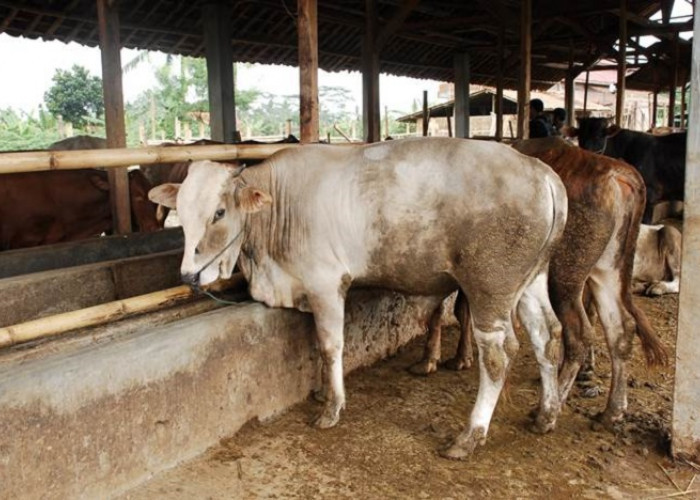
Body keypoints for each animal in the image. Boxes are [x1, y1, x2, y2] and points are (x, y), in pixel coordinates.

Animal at [149, 138, 568, 460]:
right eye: (179, 213)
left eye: (219, 212)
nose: (189, 276)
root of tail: (540, 171)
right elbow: (316, 347)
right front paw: (322, 392)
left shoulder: (326, 284)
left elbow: (330, 345)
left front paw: (332, 407)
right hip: (531, 280)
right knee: (547, 336)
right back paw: (545, 414)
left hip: (490, 289)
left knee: (498, 356)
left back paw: (469, 436)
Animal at [416, 138, 668, 430]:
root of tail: (614, 171)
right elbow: (460, 310)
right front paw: (460, 356)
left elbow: (445, 310)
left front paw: (432, 360)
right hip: (607, 270)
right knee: (620, 327)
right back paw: (611, 410)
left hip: (564, 276)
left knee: (578, 332)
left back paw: (549, 408)